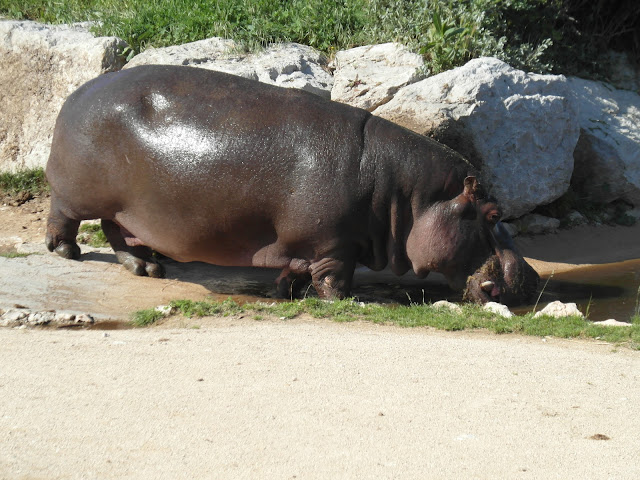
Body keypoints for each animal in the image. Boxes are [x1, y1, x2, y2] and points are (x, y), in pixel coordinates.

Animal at [45, 64, 536, 304]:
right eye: (494, 214)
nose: (530, 277)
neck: (409, 197)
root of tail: (78, 91)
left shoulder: (307, 243)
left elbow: (296, 269)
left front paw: (285, 293)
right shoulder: (334, 244)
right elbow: (334, 276)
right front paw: (342, 302)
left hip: (127, 208)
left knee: (119, 234)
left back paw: (147, 269)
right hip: (78, 194)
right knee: (64, 216)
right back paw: (66, 252)